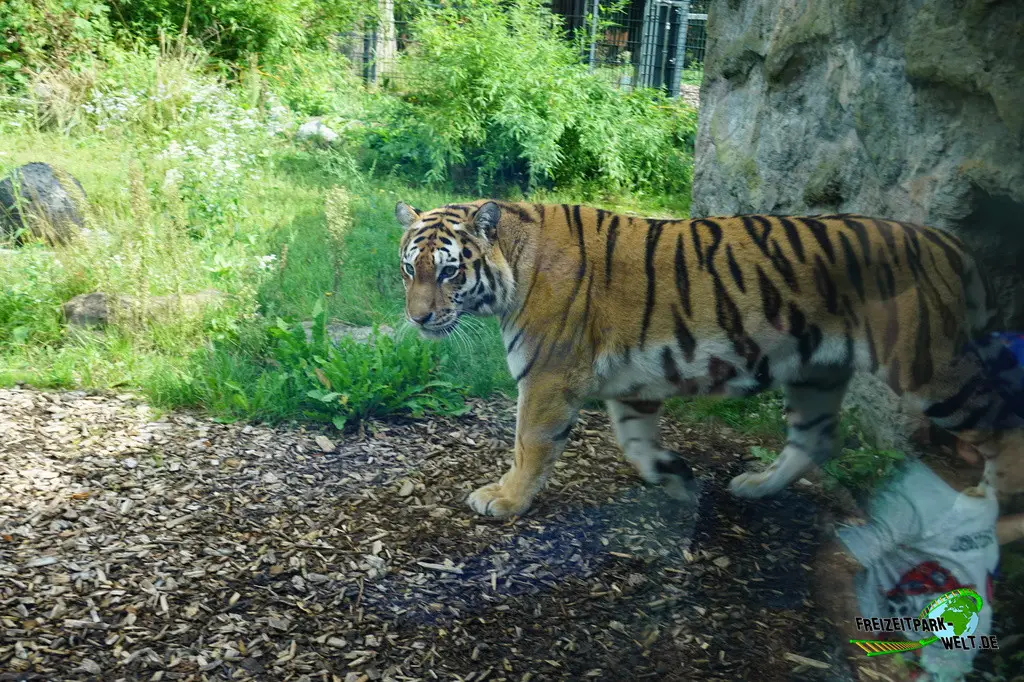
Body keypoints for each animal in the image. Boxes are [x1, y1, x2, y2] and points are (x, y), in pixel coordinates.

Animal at [394, 199, 1024, 518]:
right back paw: (757, 487)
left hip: (928, 367)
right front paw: (669, 473)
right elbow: (634, 437)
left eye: (447, 272)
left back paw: (987, 504)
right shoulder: (633, 382)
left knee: (1004, 424)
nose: (417, 319)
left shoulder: (548, 377)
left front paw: (504, 499)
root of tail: (949, 241)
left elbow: (529, 444)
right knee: (818, 439)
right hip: (816, 372)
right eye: (408, 268)